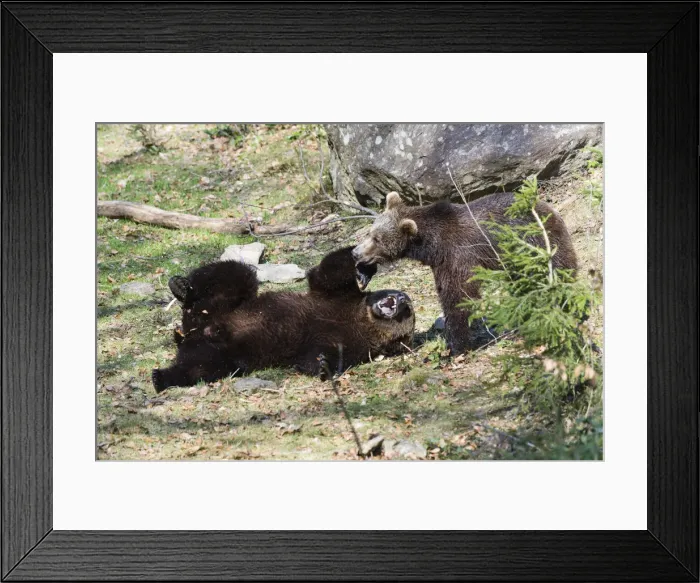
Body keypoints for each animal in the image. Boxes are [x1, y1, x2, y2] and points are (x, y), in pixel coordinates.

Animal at [151, 247, 414, 392]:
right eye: (407, 303)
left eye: (409, 310)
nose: (402, 299)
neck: (360, 319)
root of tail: (194, 330)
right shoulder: (337, 299)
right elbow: (328, 273)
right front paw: (363, 268)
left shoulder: (351, 342)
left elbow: (317, 356)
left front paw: (322, 364)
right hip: (224, 307)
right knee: (234, 275)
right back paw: (181, 287)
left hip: (222, 351)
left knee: (200, 367)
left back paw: (161, 377)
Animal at [352, 191, 577, 354]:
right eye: (370, 233)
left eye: (377, 239)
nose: (355, 253)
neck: (432, 245)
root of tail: (545, 204)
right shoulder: (441, 261)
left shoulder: (458, 254)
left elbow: (458, 295)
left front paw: (456, 345)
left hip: (535, 241)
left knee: (559, 267)